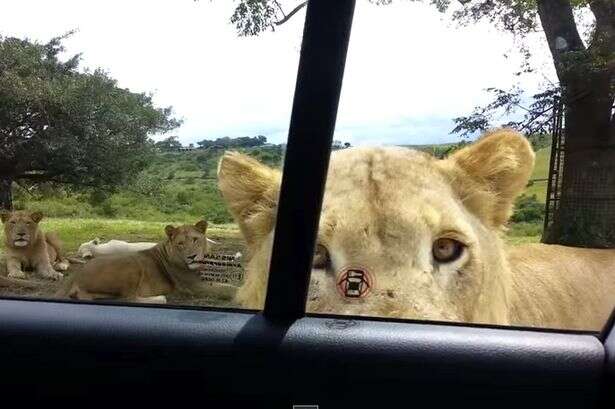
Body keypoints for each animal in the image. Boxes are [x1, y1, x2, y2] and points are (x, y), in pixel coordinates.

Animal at [56, 220, 237, 302]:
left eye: (195, 240)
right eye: (180, 243)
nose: (192, 256)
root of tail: (75, 276)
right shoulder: (195, 286)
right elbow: (228, 290)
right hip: (131, 267)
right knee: (128, 298)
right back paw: (161, 298)